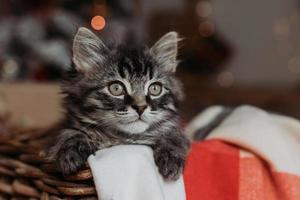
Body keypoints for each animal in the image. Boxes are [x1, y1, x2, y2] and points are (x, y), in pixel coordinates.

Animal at [48, 27, 191, 181]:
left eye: (155, 89)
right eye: (116, 88)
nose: (140, 107)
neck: (124, 140)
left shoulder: (175, 131)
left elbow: (174, 137)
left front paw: (171, 158)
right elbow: (71, 133)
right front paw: (71, 153)